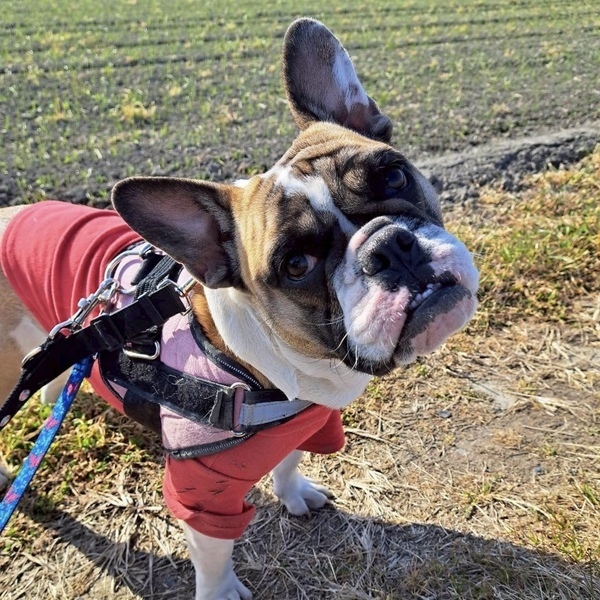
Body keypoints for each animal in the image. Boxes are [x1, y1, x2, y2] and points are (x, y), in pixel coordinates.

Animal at [0, 18, 479, 600]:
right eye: (296, 264)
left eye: (393, 175)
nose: (389, 247)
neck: (276, 366)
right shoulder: (202, 491)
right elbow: (213, 553)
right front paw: (222, 590)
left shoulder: (307, 426)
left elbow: (289, 461)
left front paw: (294, 494)